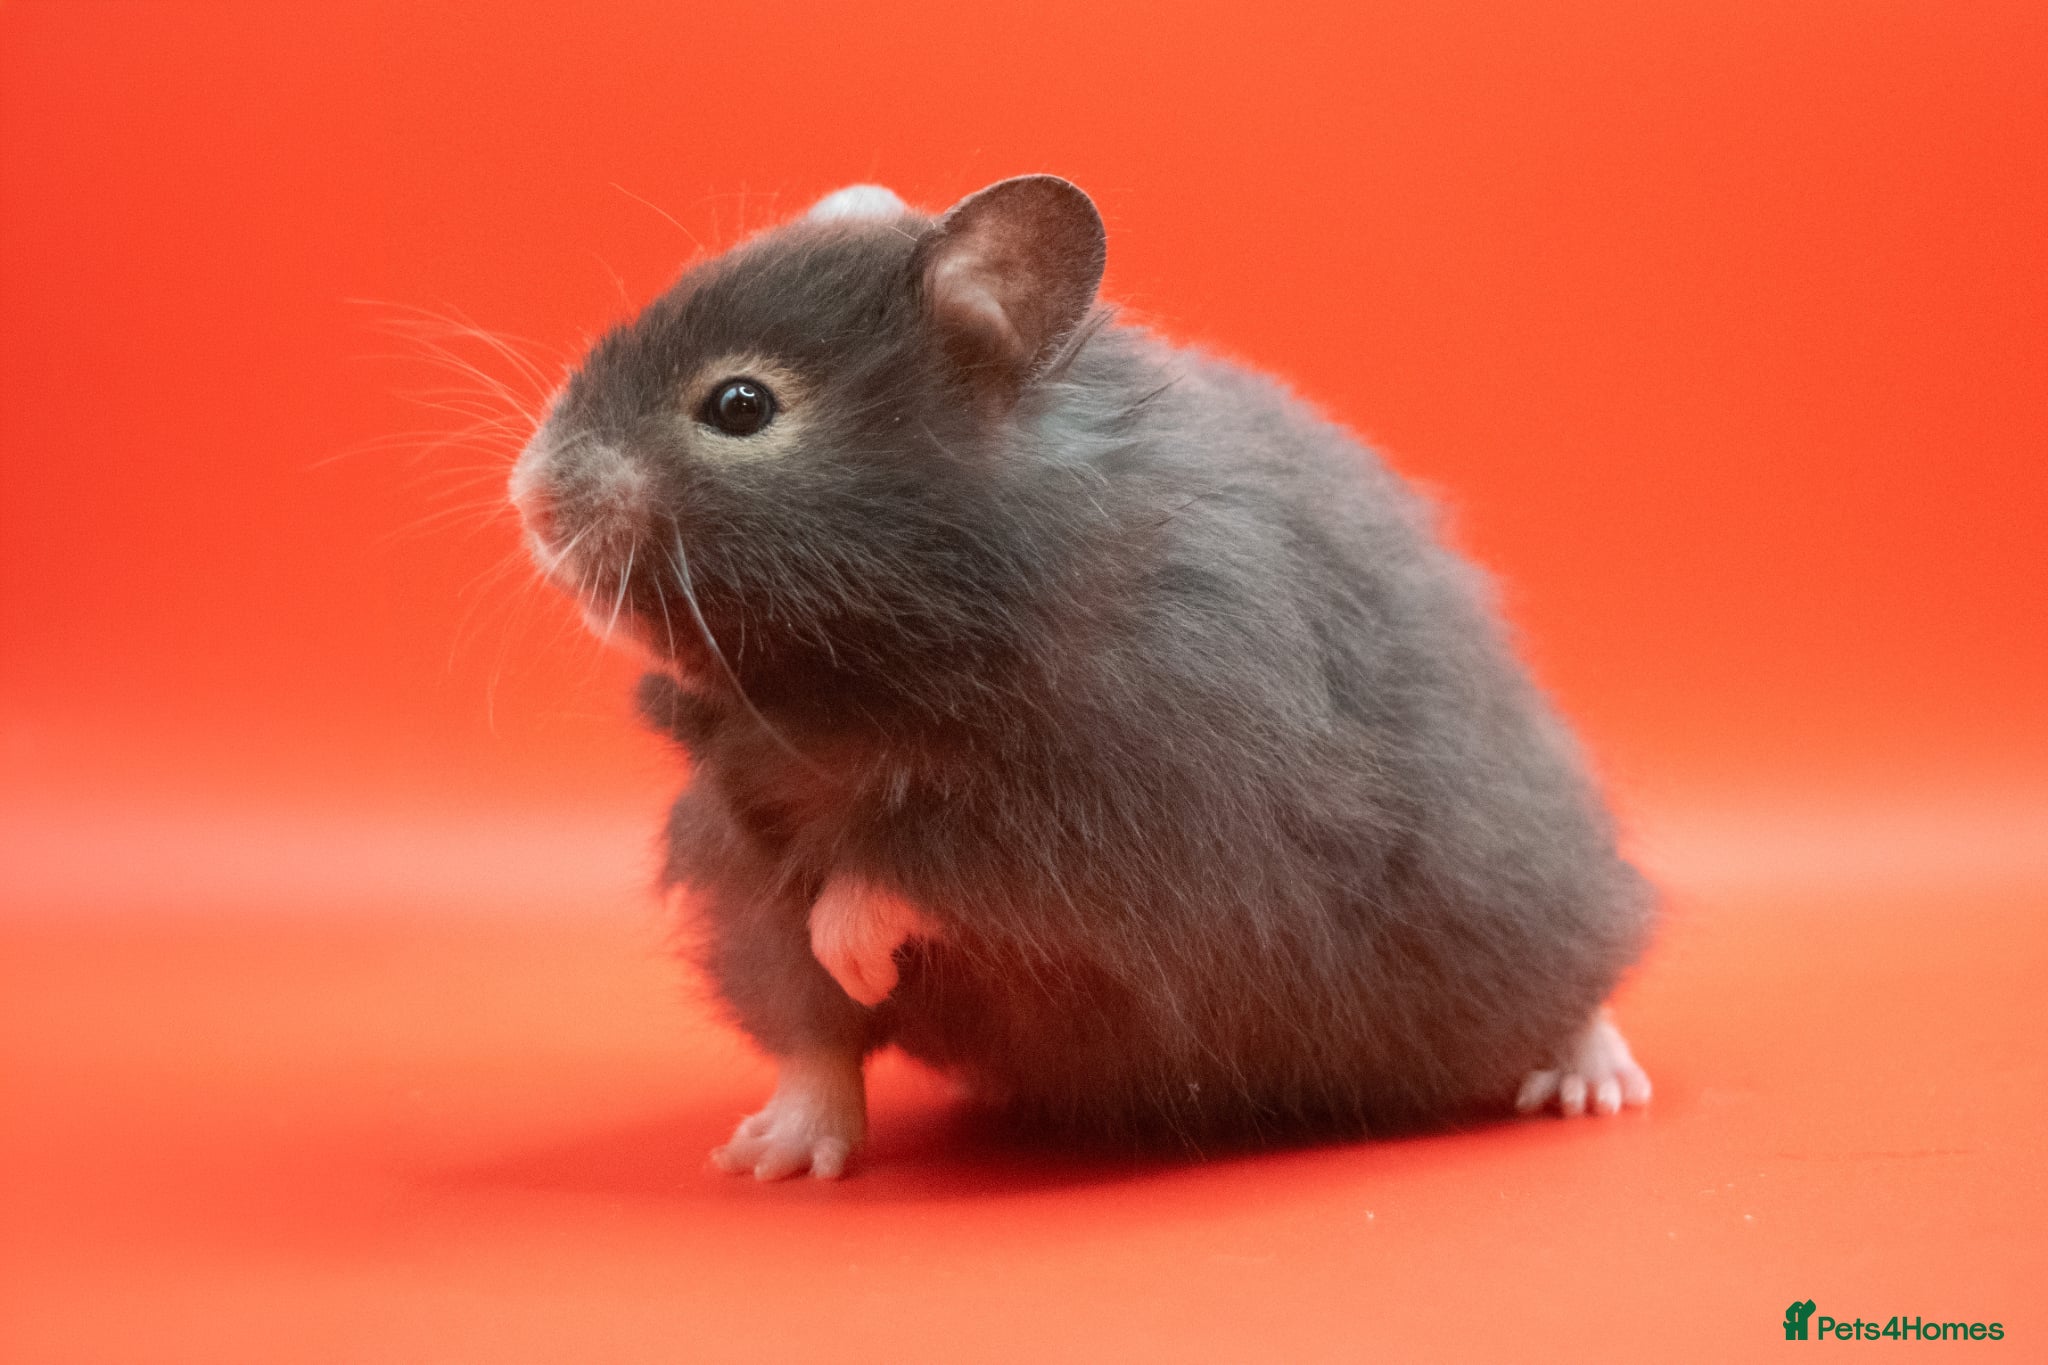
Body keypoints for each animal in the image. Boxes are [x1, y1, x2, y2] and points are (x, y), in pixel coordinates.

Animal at [509, 175, 1654, 1180]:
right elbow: (813, 1024)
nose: (528, 496)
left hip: (1520, 898)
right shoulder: (738, 838)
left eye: (740, 406)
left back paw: (1594, 1088)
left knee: (1578, 980)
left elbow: (893, 876)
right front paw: (768, 1148)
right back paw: (769, 1155)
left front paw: (856, 954)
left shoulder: (1105, 816)